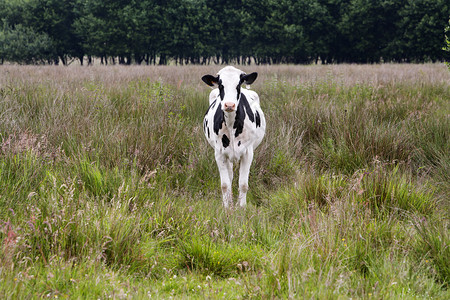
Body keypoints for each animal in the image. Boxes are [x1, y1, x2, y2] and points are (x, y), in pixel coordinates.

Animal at [201, 66, 268, 207]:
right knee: (230, 176)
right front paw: (227, 207)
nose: (229, 105)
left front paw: (242, 207)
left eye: (238, 85)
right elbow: (225, 184)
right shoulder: (219, 154)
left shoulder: (248, 153)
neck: (232, 125)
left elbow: (243, 184)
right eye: (221, 85)